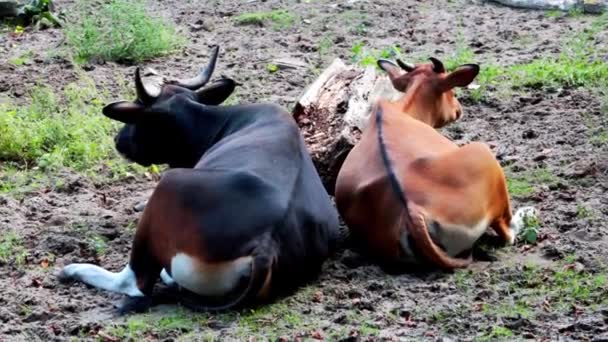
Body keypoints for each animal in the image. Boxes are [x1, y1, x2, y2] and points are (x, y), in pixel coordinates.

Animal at [334, 56, 540, 270]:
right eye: (452, 91)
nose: (459, 109)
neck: (402, 111)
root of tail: (413, 210)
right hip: (484, 155)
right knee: (507, 233)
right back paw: (528, 213)